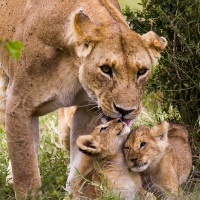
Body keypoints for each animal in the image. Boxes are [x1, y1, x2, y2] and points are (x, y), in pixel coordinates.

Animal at [0, 0, 166, 198]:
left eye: (141, 71)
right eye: (106, 69)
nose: (125, 111)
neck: (72, 63)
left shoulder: (90, 111)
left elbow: (79, 171)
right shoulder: (19, 107)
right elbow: (26, 171)